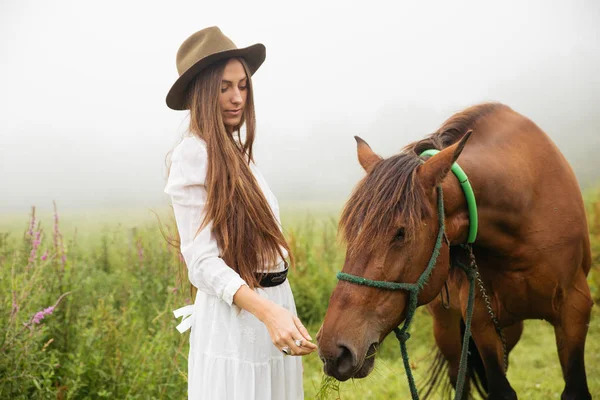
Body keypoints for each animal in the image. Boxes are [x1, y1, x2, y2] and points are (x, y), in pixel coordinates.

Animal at [316, 104, 592, 400]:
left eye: (401, 233)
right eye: (351, 230)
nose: (333, 350)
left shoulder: (575, 309)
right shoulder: (482, 321)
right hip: (448, 331)